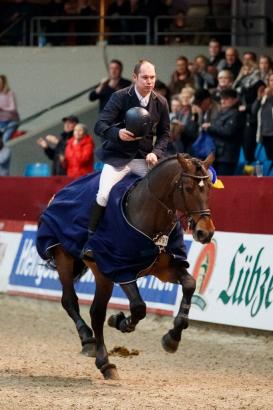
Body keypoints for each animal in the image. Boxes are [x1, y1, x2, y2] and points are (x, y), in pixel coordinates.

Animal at [37, 154, 215, 382]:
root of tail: (62, 191)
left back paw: (105, 363)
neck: (150, 217)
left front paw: (172, 337)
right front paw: (121, 322)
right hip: (65, 257)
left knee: (96, 312)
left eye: (208, 187)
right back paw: (90, 343)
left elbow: (190, 284)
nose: (205, 233)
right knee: (71, 302)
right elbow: (139, 307)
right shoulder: (120, 269)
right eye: (188, 188)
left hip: (102, 276)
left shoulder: (166, 268)